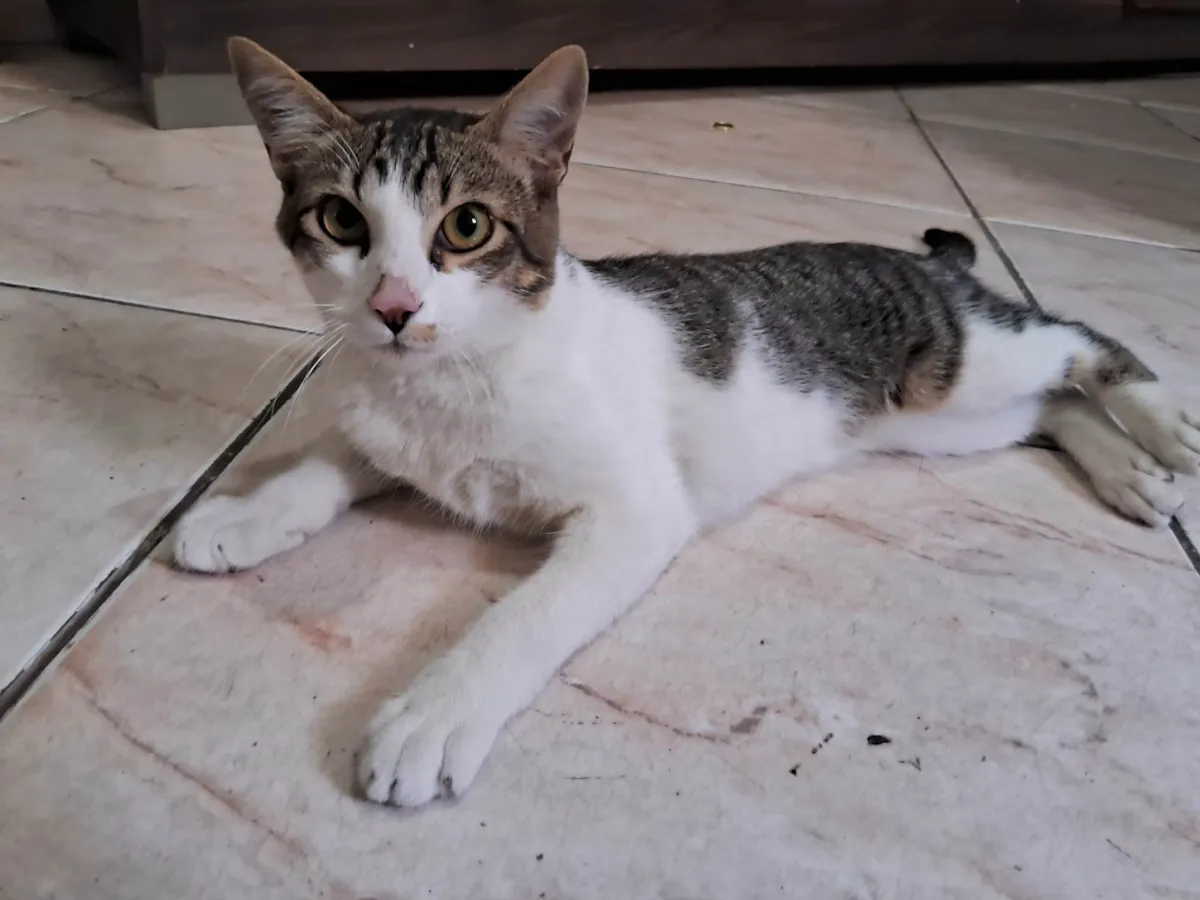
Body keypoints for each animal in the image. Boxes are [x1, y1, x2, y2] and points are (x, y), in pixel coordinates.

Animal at [174, 37, 1200, 809]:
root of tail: (929, 265)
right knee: (1050, 404)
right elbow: (336, 454)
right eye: (342, 221)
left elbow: (527, 613)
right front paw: (246, 513)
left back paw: (1163, 428)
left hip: (960, 363)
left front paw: (434, 711)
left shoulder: (636, 512)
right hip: (945, 420)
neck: (456, 375)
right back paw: (1128, 474)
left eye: (465, 228)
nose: (393, 307)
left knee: (1076, 344)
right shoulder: (389, 418)